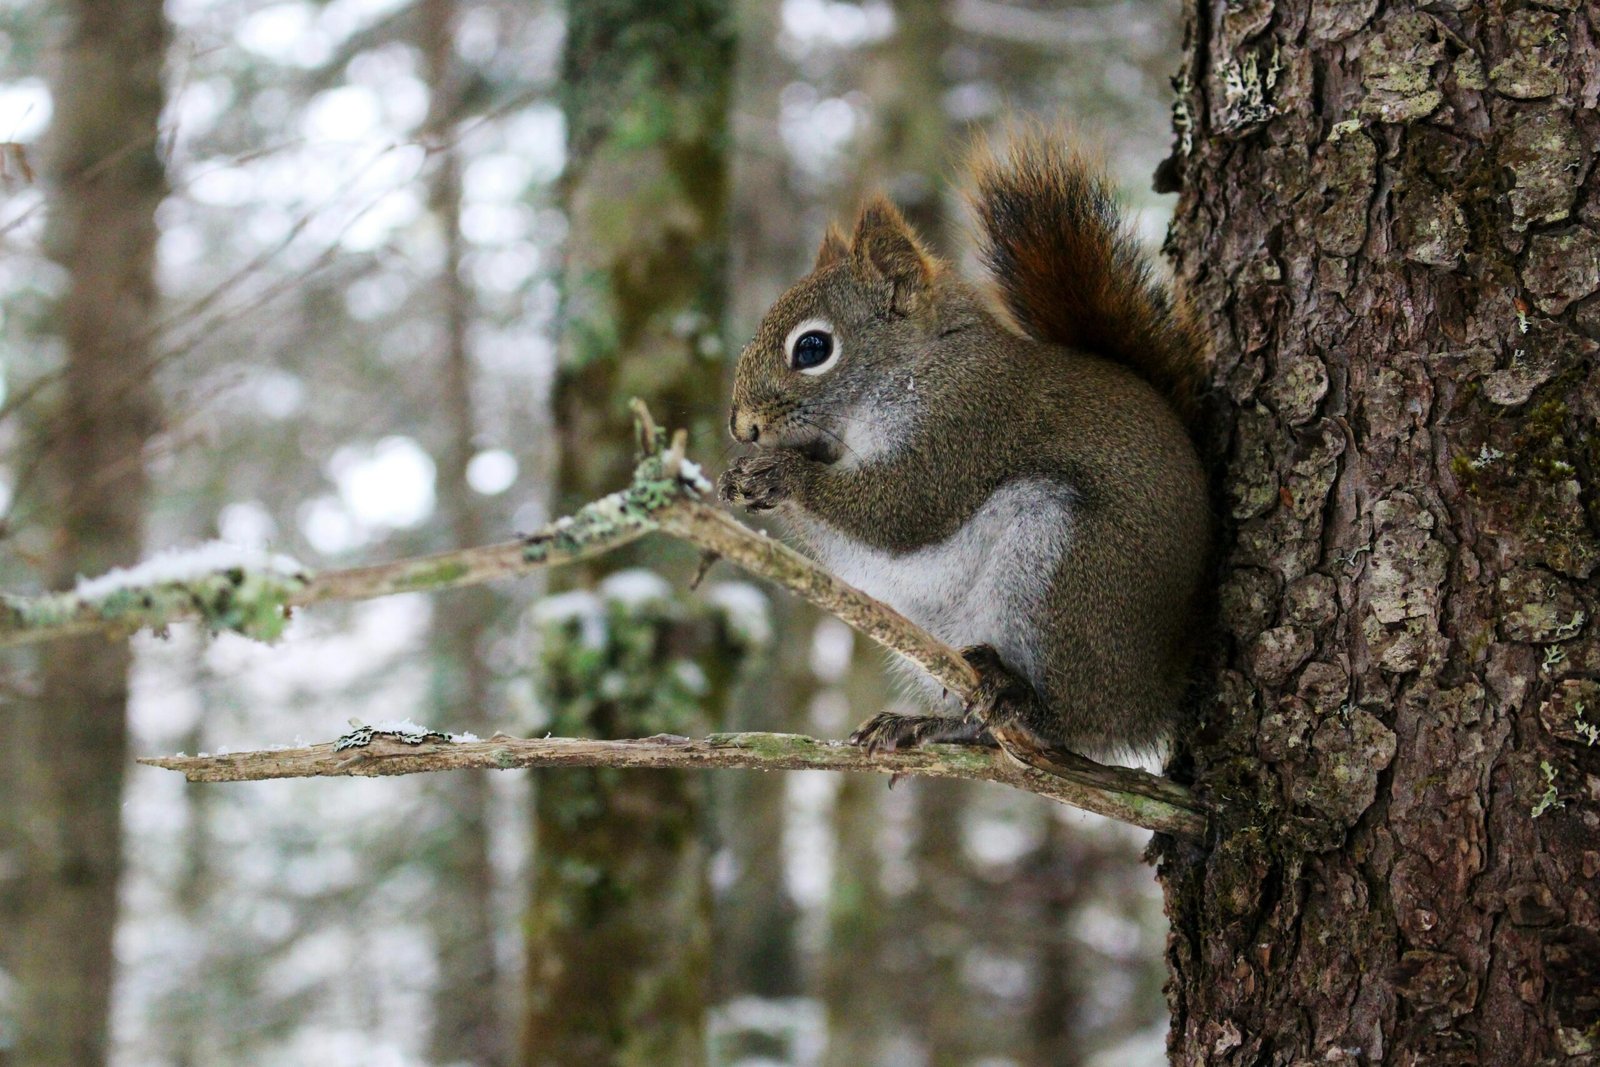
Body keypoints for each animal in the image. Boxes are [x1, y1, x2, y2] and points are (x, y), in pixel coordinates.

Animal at [718, 132, 1211, 759]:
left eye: (812, 348)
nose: (742, 427)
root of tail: (1153, 699)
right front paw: (741, 476)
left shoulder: (968, 417)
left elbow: (903, 508)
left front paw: (780, 475)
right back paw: (923, 724)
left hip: (1068, 569)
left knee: (1070, 720)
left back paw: (1018, 694)